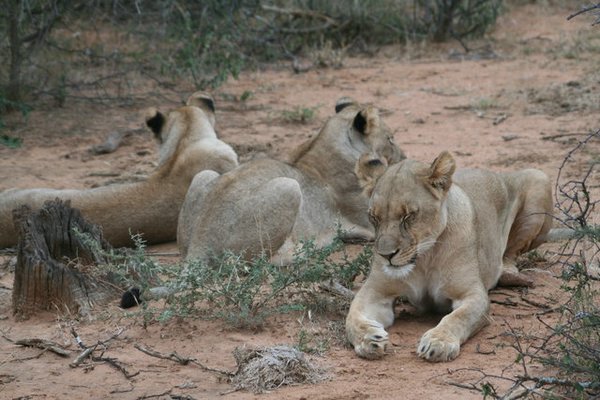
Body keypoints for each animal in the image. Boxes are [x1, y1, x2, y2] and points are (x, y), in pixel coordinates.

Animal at [177, 97, 404, 264]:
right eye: (390, 138)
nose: (404, 156)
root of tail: (199, 242)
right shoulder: (370, 220)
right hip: (290, 187)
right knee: (261, 261)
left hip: (204, 175)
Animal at [344, 151, 564, 362]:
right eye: (374, 217)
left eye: (408, 216)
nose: (386, 255)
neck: (424, 259)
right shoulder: (376, 292)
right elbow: (352, 317)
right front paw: (369, 339)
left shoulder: (471, 294)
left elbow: (457, 317)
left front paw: (438, 343)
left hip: (538, 178)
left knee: (511, 253)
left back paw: (511, 274)